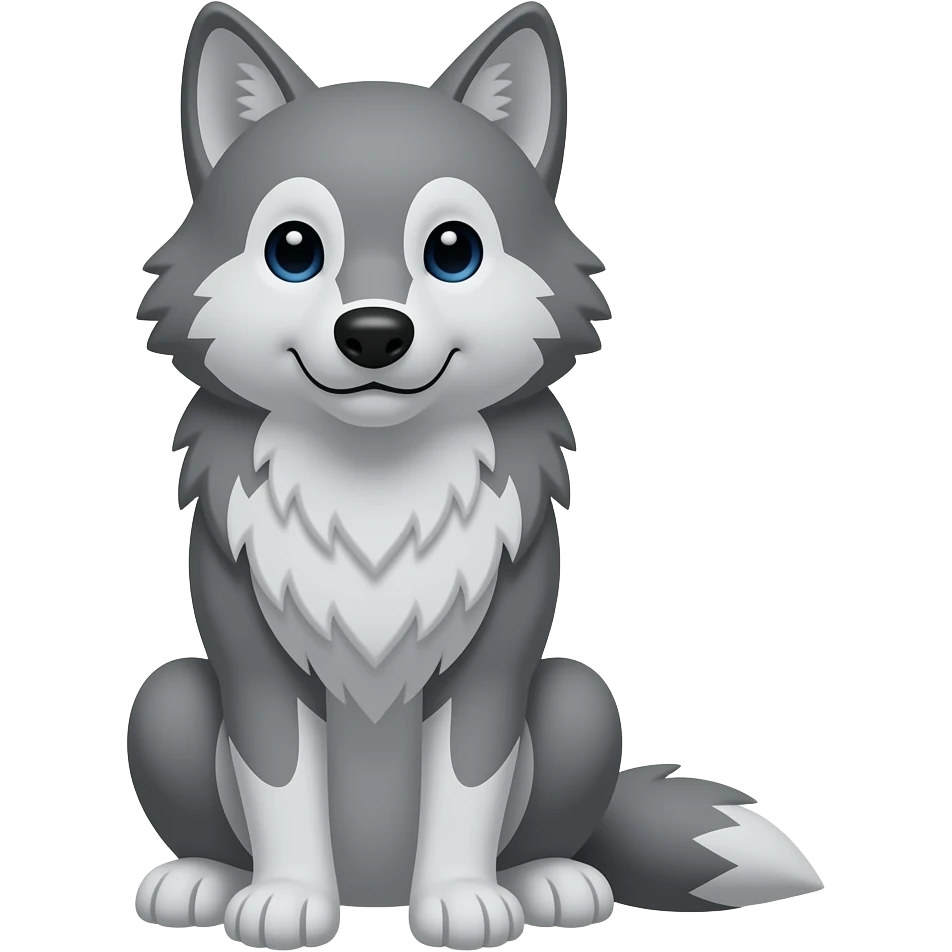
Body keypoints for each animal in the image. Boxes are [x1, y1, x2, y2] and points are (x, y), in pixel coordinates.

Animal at [128, 2, 825, 949]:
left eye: (452, 250)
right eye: (293, 249)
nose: (374, 334)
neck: (375, 490)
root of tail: (374, 894)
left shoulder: (498, 661)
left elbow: (468, 783)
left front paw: (464, 901)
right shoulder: (251, 657)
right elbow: (280, 783)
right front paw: (285, 901)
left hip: (580, 700)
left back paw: (548, 881)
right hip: (163, 698)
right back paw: (200, 880)